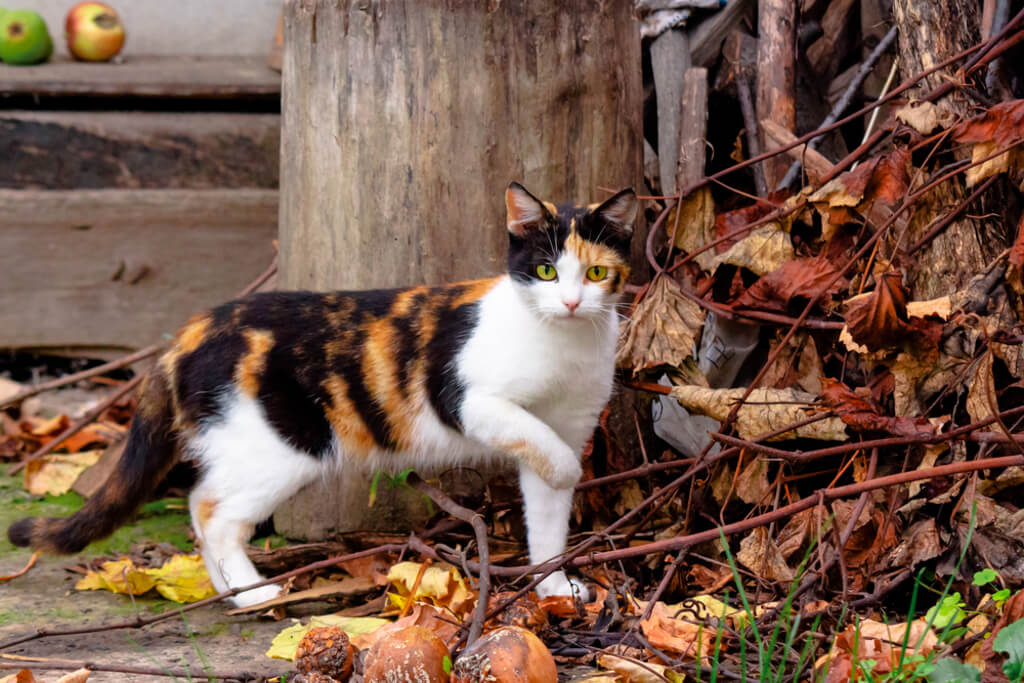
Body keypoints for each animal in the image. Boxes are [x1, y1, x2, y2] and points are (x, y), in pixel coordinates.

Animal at [8, 183, 634, 610]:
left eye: (596, 273)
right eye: (547, 271)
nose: (572, 303)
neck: (563, 343)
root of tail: (191, 330)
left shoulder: (568, 421)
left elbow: (547, 516)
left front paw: (555, 586)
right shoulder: (468, 400)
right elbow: (545, 451)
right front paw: (567, 471)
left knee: (201, 504)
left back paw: (234, 594)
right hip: (281, 447)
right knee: (210, 511)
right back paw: (255, 594)